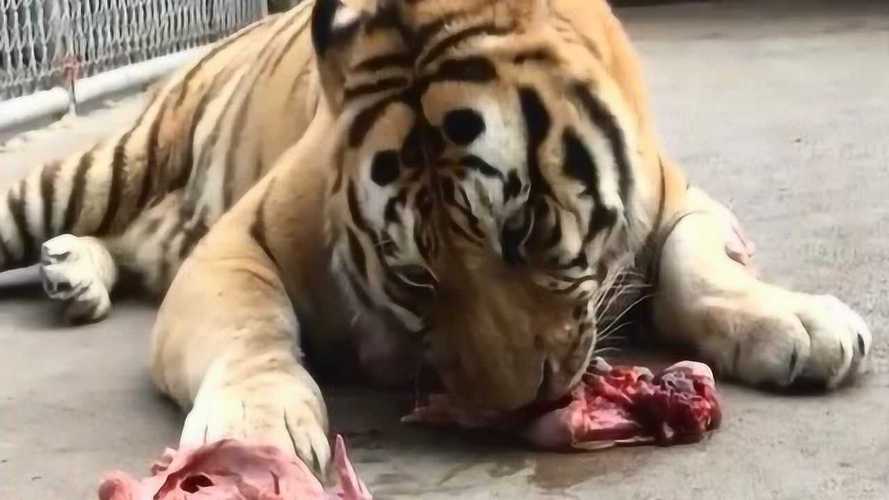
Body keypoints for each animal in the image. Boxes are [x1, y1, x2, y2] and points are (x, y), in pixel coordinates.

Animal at [0, 0, 872, 477]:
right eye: (415, 277)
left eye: (525, 231)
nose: (514, 407)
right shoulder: (237, 240)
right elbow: (249, 329)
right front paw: (254, 429)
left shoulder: (685, 203)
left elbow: (701, 271)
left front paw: (797, 324)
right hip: (109, 166)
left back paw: (75, 274)